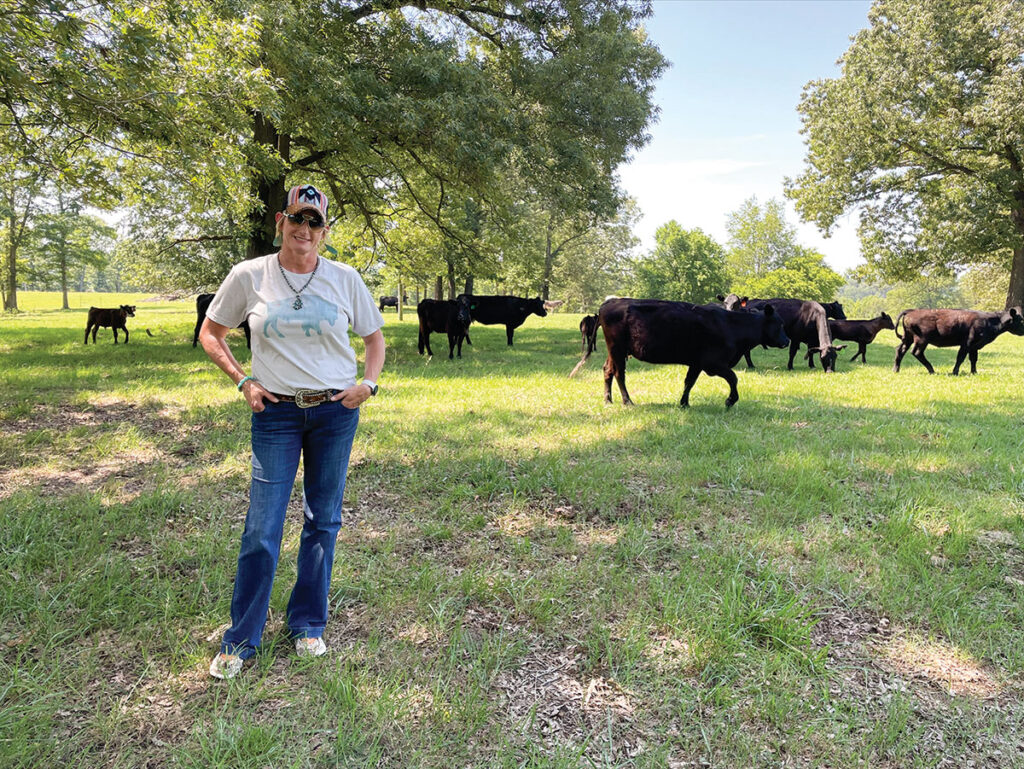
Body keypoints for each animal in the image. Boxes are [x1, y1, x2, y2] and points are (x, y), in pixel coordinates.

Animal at [581, 296, 786, 409]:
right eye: (779, 323)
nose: (787, 341)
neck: (731, 325)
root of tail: (609, 302)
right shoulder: (713, 363)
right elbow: (733, 378)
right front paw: (730, 400)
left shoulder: (696, 363)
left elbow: (689, 382)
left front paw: (684, 403)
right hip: (617, 348)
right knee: (619, 373)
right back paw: (627, 401)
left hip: (615, 350)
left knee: (607, 370)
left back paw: (608, 400)